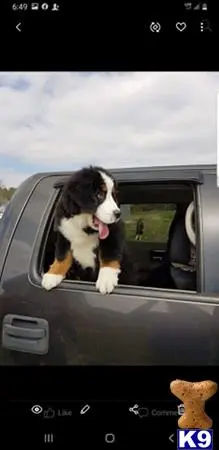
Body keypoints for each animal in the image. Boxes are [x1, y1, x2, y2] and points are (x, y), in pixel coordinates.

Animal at [41, 165, 137, 296]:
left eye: (113, 195)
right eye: (99, 195)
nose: (118, 214)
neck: (83, 224)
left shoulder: (113, 232)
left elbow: (109, 255)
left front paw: (106, 280)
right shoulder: (64, 233)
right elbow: (62, 256)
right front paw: (53, 274)